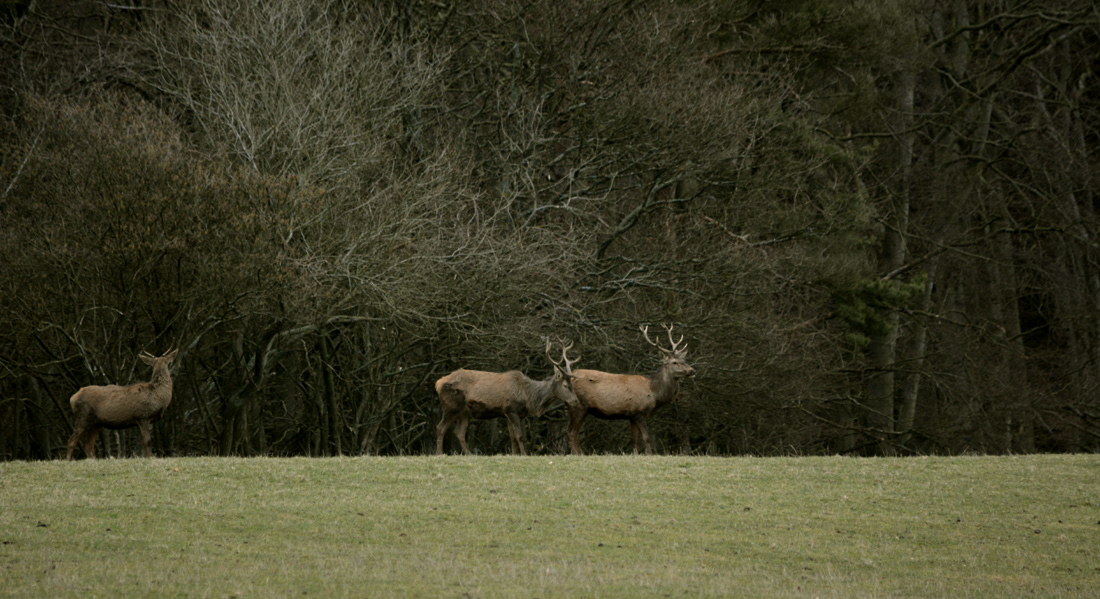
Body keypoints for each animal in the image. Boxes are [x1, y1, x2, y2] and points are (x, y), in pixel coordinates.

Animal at [433, 340, 580, 452]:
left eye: (572, 384)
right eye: (565, 385)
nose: (576, 401)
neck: (528, 397)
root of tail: (437, 383)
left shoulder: (509, 413)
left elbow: (512, 437)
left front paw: (514, 455)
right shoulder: (511, 409)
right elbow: (519, 436)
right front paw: (524, 455)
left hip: (465, 412)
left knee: (459, 432)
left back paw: (469, 454)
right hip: (451, 406)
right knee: (440, 428)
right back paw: (440, 453)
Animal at [567, 325, 695, 455]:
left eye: (685, 361)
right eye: (675, 362)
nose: (692, 370)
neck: (653, 393)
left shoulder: (632, 415)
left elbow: (634, 438)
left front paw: (635, 454)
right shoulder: (639, 412)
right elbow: (646, 437)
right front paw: (650, 454)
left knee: (573, 432)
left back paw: (580, 453)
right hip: (578, 406)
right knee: (571, 432)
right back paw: (578, 454)